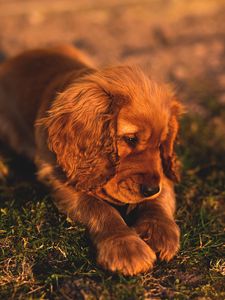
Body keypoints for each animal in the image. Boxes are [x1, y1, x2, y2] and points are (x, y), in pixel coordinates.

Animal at [0, 44, 182, 274]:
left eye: (161, 144)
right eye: (130, 139)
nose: (150, 189)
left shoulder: (161, 171)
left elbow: (160, 195)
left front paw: (158, 231)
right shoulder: (61, 177)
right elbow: (99, 208)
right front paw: (125, 247)